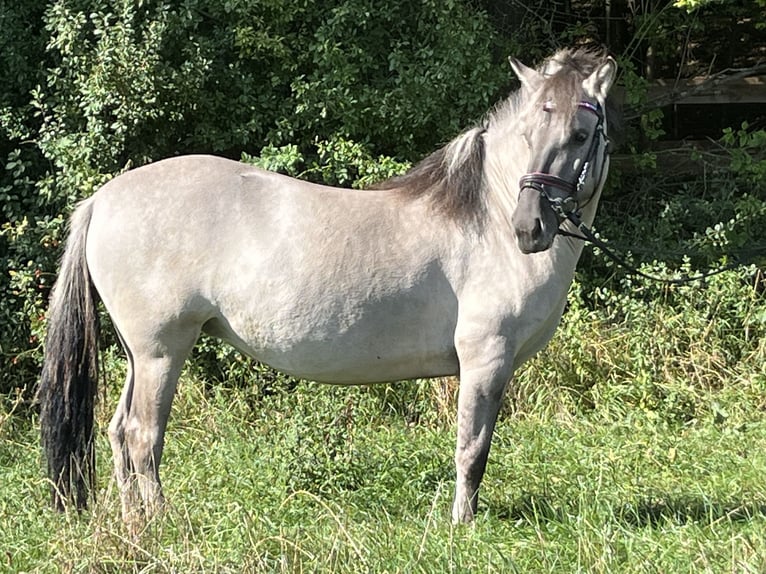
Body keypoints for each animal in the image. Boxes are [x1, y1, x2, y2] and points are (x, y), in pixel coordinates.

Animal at [39, 48, 620, 528]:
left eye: (580, 135)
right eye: (528, 133)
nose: (529, 228)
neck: (485, 215)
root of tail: (103, 199)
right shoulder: (485, 359)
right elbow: (472, 448)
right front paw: (463, 525)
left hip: (139, 354)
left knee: (118, 432)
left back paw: (132, 522)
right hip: (162, 351)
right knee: (143, 436)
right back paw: (161, 524)